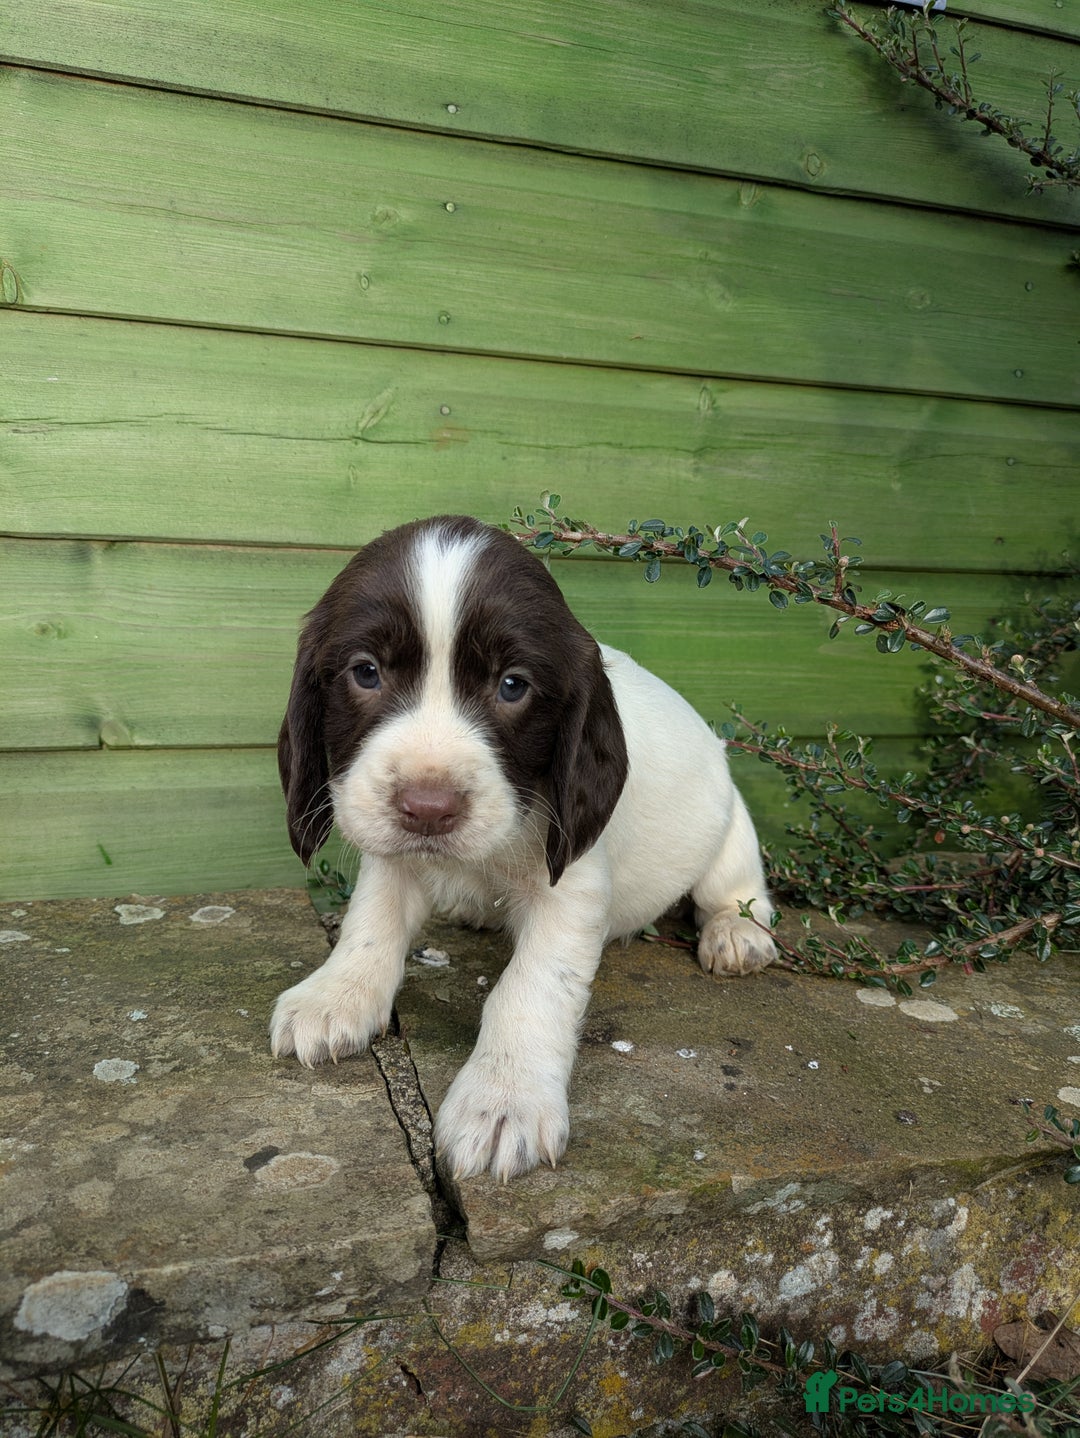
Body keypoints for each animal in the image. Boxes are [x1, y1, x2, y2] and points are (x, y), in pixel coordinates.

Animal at [272, 515, 776, 1181]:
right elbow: (370, 926)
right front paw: (336, 994)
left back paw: (737, 932)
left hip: (729, 825)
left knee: (736, 886)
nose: (428, 808)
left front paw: (503, 1097)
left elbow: (530, 987)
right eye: (366, 671)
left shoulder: (572, 889)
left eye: (513, 686)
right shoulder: (390, 852)